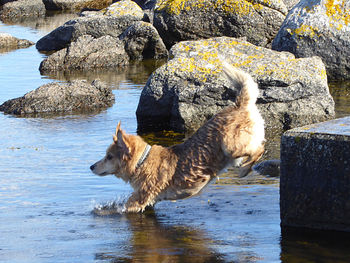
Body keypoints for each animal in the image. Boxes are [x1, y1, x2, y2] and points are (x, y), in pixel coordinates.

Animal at [90, 62, 266, 214]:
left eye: (109, 157)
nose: (91, 166)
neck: (142, 162)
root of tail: (240, 104)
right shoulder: (150, 203)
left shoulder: (137, 201)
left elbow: (117, 209)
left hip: (230, 146)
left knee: (259, 149)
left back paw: (244, 170)